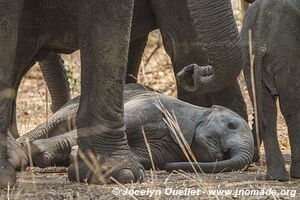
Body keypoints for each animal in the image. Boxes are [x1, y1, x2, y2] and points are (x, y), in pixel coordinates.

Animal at [9, 83, 253, 175]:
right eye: (231, 126)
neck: (200, 112)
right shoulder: (150, 107)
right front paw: (37, 152)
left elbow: (143, 156)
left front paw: (75, 155)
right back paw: (21, 146)